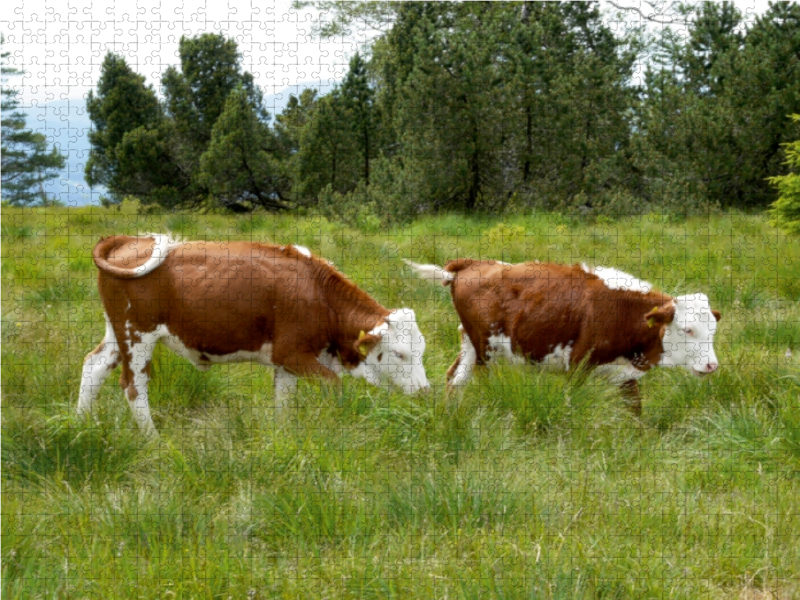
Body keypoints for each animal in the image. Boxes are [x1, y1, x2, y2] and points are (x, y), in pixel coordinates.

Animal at [79, 234, 432, 436]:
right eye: (399, 353)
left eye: (422, 351)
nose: (425, 392)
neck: (317, 292)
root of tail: (128, 240)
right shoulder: (292, 354)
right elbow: (334, 385)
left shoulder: (289, 363)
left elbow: (284, 405)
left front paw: (283, 441)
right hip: (137, 335)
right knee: (133, 387)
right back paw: (154, 440)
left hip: (117, 334)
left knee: (93, 366)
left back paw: (83, 425)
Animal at [404, 258, 720, 412]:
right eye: (687, 329)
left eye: (712, 332)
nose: (712, 365)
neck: (622, 309)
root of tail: (470, 263)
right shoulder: (578, 366)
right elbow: (573, 404)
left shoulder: (625, 373)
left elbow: (635, 409)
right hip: (486, 351)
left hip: (470, 346)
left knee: (454, 379)